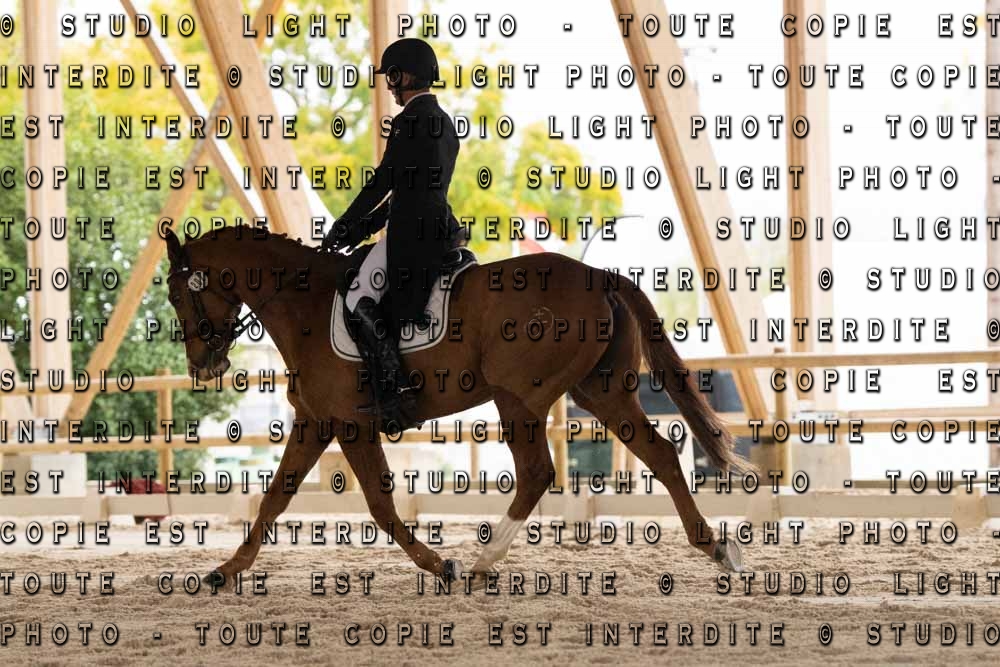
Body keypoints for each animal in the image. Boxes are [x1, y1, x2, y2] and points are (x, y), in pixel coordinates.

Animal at [162, 224, 746, 585]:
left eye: (175, 295)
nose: (203, 366)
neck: (301, 301)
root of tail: (599, 276)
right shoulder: (316, 421)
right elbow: (274, 499)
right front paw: (226, 570)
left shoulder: (350, 424)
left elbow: (380, 505)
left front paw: (439, 564)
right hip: (601, 392)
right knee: (661, 455)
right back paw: (716, 549)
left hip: (518, 397)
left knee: (538, 472)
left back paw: (484, 561)